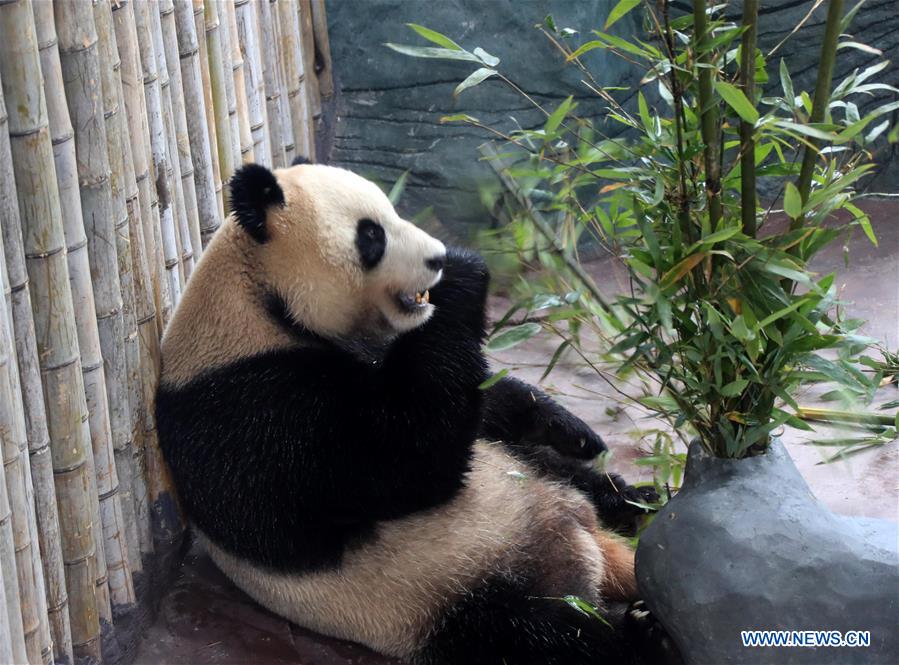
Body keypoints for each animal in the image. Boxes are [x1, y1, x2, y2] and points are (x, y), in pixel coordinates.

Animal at [155, 159, 672, 665]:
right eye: (372, 235)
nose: (437, 258)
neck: (260, 303)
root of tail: (587, 543)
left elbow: (472, 398)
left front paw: (568, 427)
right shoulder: (251, 408)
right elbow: (406, 461)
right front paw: (463, 274)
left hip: (522, 479)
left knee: (565, 477)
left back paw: (638, 500)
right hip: (445, 596)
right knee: (542, 637)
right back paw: (640, 628)